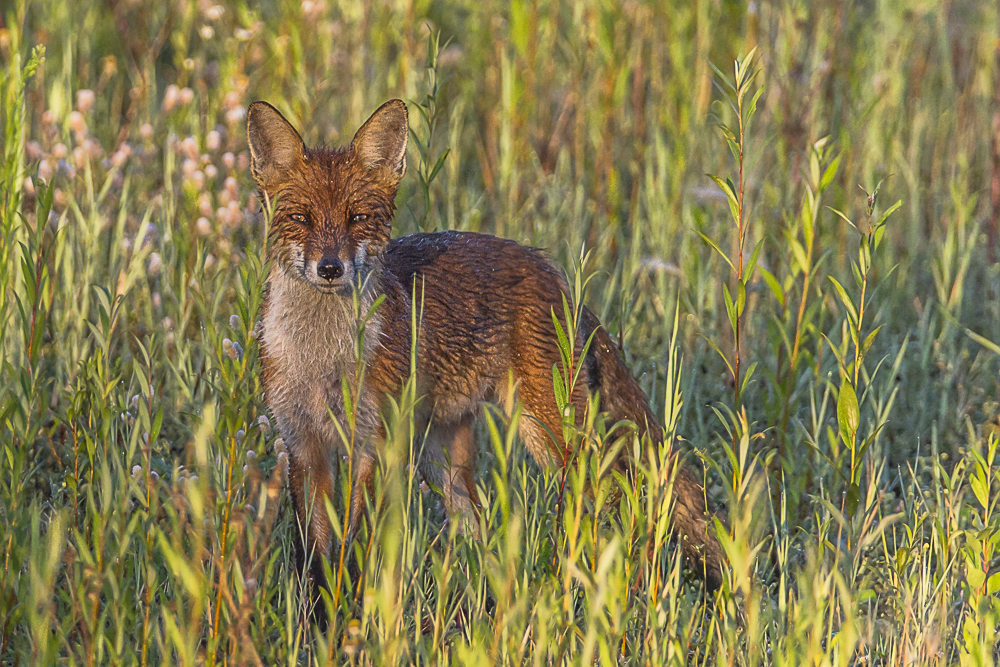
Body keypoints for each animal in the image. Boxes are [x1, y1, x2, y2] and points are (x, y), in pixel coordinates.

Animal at [246, 100, 724, 596]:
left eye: (356, 218)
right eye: (300, 218)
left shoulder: (372, 442)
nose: (330, 268)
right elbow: (314, 556)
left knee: (618, 499)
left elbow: (355, 543)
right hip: (443, 458)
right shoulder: (303, 443)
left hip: (551, 433)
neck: (321, 362)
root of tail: (551, 270)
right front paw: (320, 612)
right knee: (481, 530)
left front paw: (356, 607)